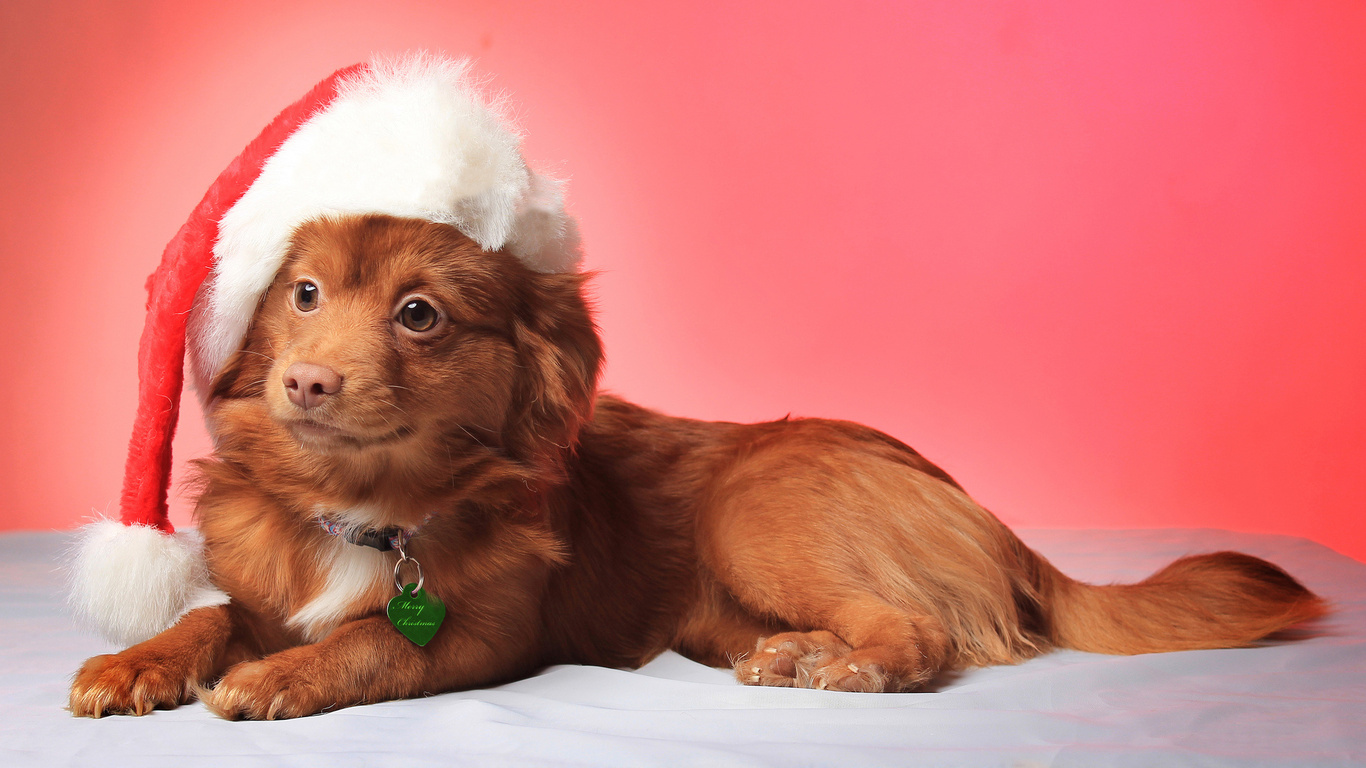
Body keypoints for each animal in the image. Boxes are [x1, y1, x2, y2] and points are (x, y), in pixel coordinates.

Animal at [69, 210, 1327, 716]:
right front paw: (137, 663)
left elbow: (372, 638)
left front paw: (280, 678)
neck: (363, 508)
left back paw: (839, 667)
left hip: (753, 509)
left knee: (922, 633)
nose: (306, 384)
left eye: (419, 314)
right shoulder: (257, 590)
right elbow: (208, 615)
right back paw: (799, 652)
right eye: (302, 294)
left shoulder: (483, 639)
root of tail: (983, 515)